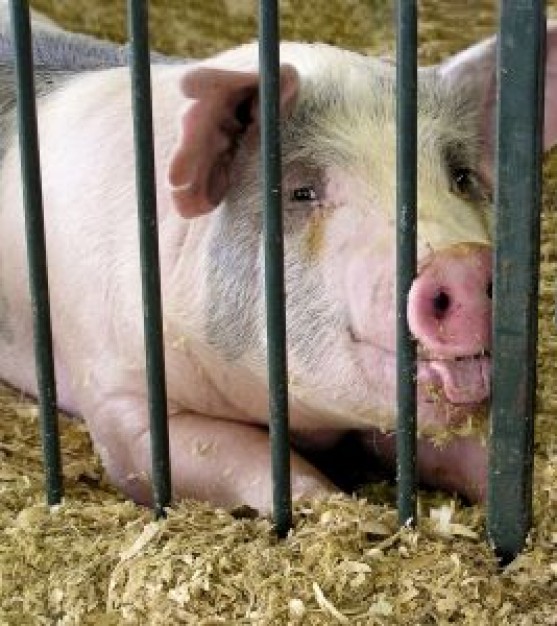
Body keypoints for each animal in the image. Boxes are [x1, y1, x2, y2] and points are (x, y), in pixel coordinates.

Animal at [0, 13, 552, 512]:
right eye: (301, 191)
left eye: (460, 176)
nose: (462, 261)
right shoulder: (120, 397)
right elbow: (243, 459)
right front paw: (330, 507)